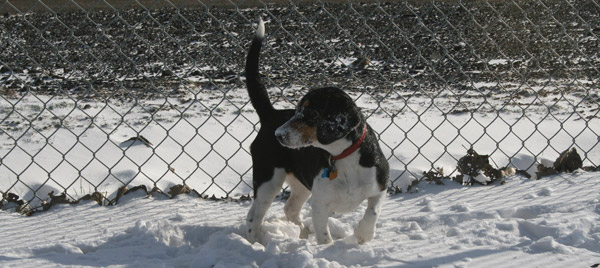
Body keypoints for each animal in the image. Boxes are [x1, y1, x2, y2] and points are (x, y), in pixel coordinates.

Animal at [244, 18, 390, 245]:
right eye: (297, 111)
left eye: (310, 114)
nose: (279, 135)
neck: (344, 157)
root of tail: (271, 115)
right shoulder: (320, 204)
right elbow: (324, 235)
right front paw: (329, 248)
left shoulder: (380, 186)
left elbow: (371, 214)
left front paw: (362, 236)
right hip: (268, 178)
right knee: (255, 215)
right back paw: (253, 242)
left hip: (300, 184)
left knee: (289, 208)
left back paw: (302, 232)